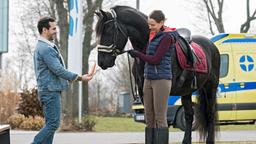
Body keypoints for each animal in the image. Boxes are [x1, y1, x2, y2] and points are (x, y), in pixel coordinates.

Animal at [95, 5, 219, 143]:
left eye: (108, 32)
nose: (102, 62)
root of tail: (211, 45)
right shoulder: (144, 93)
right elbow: (151, 121)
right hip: (186, 92)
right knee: (189, 116)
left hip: (210, 88)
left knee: (210, 114)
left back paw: (209, 140)